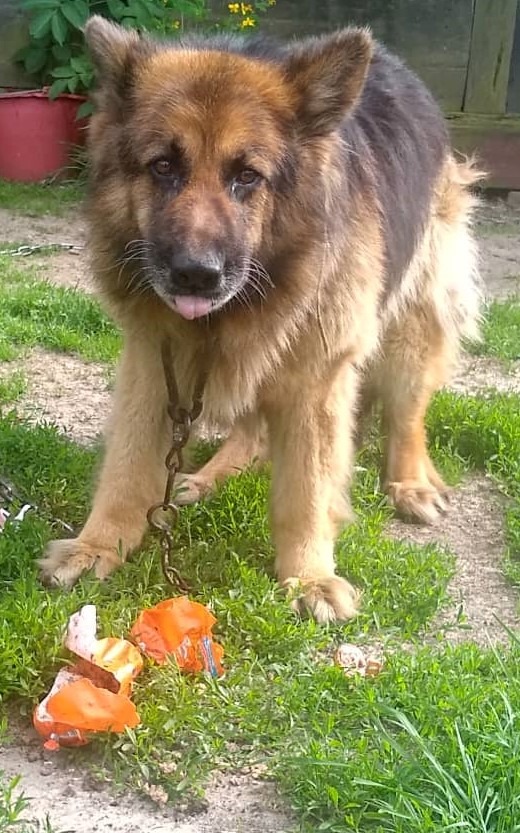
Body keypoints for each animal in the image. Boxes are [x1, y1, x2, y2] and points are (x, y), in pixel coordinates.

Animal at [39, 15, 482, 623]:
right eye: (163, 167)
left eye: (246, 177)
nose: (195, 275)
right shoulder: (154, 359)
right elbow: (128, 464)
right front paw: (97, 546)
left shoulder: (318, 375)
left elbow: (308, 488)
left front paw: (310, 576)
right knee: (249, 428)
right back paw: (209, 477)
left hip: (411, 325)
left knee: (407, 412)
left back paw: (410, 482)